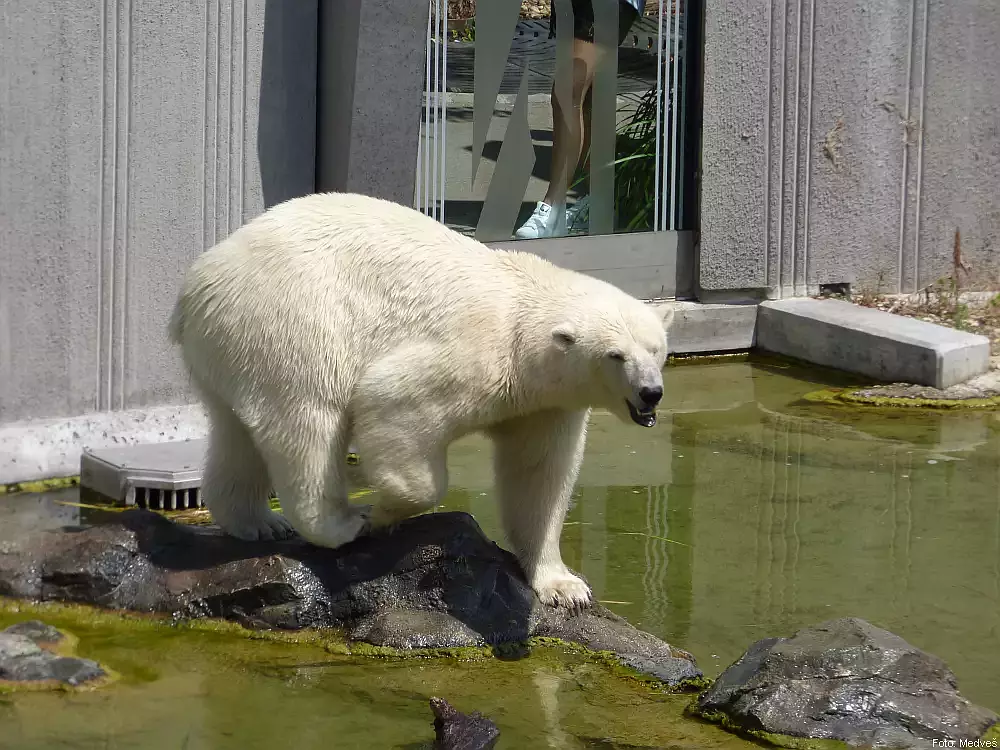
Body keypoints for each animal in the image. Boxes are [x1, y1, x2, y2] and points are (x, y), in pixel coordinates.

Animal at [170, 191, 672, 608]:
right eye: (615, 355)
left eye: (656, 349)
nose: (651, 392)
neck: (521, 323)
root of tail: (195, 284)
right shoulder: (476, 353)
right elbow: (393, 401)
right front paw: (382, 512)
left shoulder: (547, 404)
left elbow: (538, 477)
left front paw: (565, 587)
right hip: (292, 319)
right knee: (309, 418)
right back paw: (340, 522)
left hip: (234, 342)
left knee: (237, 432)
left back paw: (258, 522)